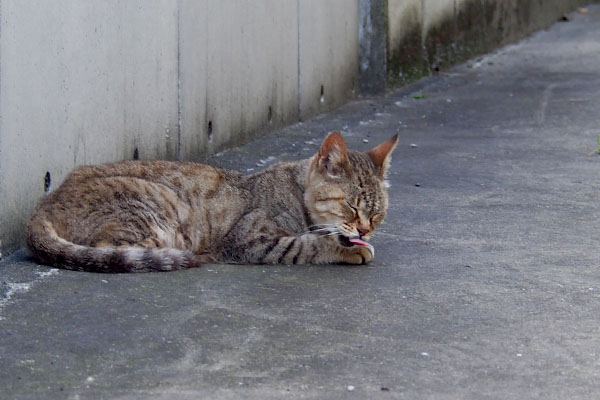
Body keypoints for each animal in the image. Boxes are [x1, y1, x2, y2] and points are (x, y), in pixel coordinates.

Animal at [25, 132, 398, 272]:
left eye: (377, 213)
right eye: (351, 206)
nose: (365, 230)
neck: (294, 192)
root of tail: (42, 206)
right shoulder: (250, 240)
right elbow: (306, 245)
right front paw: (348, 250)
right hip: (156, 208)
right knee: (110, 249)